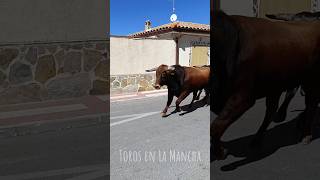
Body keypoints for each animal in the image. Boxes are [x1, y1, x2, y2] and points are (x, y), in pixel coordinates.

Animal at [211, 11, 320, 160]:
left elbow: (216, 126)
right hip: (276, 84)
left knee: (311, 105)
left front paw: (220, 153)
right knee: (272, 110)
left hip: (311, 81)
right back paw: (257, 140)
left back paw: (306, 134)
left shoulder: (243, 97)